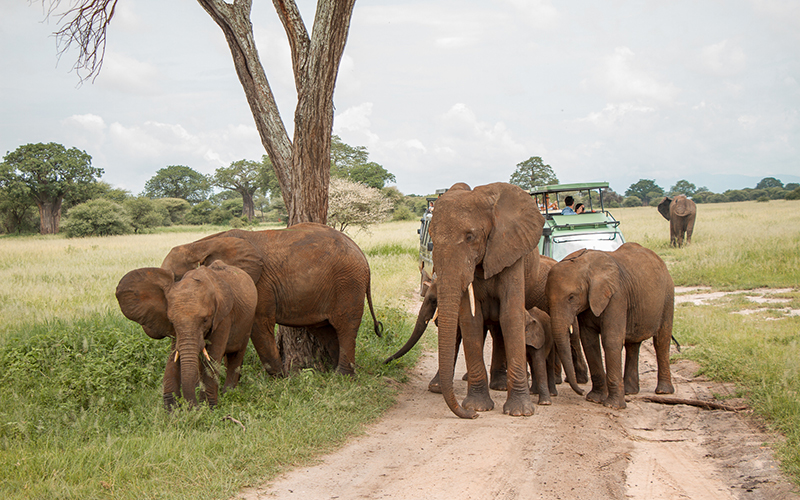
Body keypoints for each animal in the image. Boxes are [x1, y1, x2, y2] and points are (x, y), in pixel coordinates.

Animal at [115, 260, 256, 408]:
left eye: (205, 320)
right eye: (171, 321)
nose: (193, 407)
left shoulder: (224, 317)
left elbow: (213, 356)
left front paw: (208, 408)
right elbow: (174, 356)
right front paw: (172, 409)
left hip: (248, 322)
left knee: (236, 355)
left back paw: (228, 393)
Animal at [159, 222, 382, 376]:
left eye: (178, 281)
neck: (200, 245)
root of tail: (361, 253)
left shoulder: (258, 285)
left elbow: (258, 325)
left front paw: (282, 379)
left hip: (349, 283)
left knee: (345, 327)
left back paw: (341, 376)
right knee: (326, 330)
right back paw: (334, 370)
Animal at [424, 180, 580, 418]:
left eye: (470, 237)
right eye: (431, 238)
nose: (471, 415)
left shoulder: (510, 252)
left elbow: (511, 316)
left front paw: (520, 412)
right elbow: (471, 321)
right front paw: (478, 406)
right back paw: (499, 385)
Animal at [544, 242, 676, 410]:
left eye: (571, 297)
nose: (580, 391)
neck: (584, 265)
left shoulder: (616, 296)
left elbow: (611, 341)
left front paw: (613, 406)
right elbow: (589, 342)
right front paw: (594, 399)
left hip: (668, 296)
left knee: (661, 341)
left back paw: (663, 391)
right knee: (632, 344)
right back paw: (630, 391)